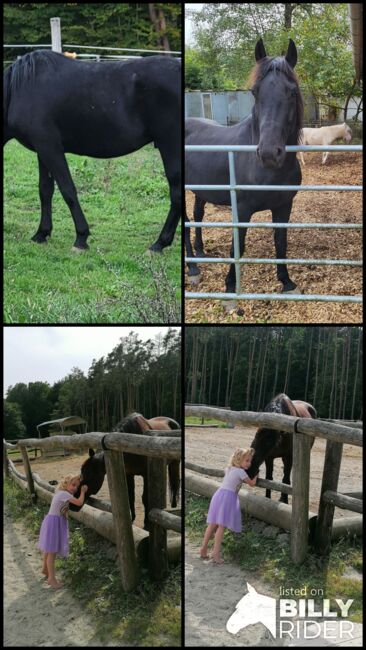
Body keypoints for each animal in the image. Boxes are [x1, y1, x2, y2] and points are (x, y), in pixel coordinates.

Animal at [2, 50, 180, 251]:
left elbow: (68, 190)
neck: (20, 90)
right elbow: (45, 190)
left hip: (170, 145)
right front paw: (41, 233)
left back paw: (160, 243)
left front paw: (81, 237)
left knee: (176, 192)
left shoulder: (50, 148)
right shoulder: (42, 150)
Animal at [186, 38, 304, 306]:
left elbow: (280, 242)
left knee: (197, 215)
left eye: (292, 91)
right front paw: (230, 289)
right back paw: (194, 269)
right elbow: (237, 246)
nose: (269, 153)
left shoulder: (284, 206)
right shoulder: (241, 209)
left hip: (200, 190)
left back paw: (200, 252)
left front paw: (287, 282)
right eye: (255, 92)